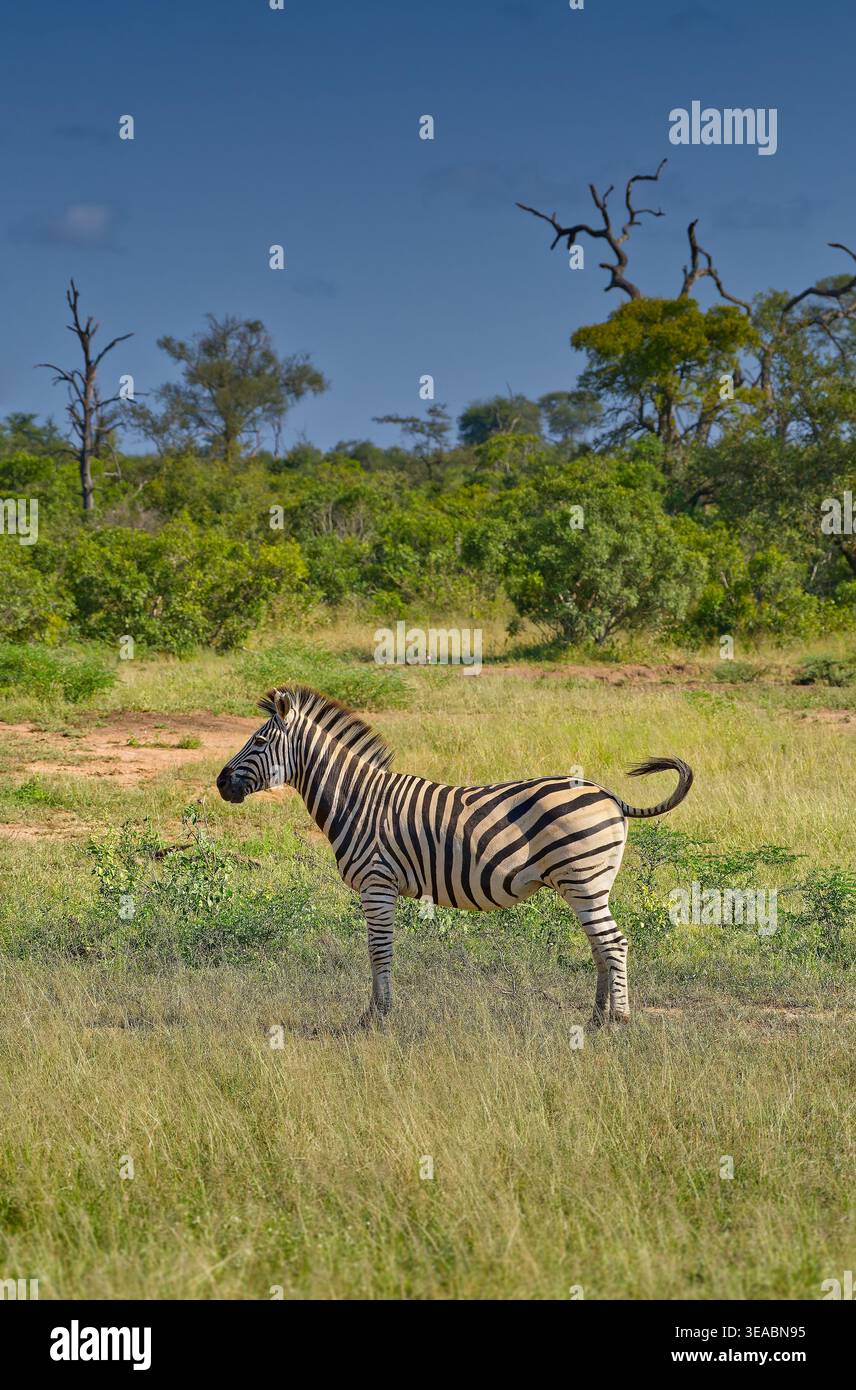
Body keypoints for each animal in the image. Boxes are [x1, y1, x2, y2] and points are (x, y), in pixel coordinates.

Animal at [216, 685, 693, 1026]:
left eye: (258, 740)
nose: (220, 783)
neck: (358, 800)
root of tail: (610, 795)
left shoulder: (377, 883)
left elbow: (378, 950)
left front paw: (376, 1018)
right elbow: (378, 950)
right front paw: (377, 1013)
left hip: (583, 879)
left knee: (614, 942)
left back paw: (619, 1020)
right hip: (586, 885)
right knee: (601, 945)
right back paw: (595, 1018)